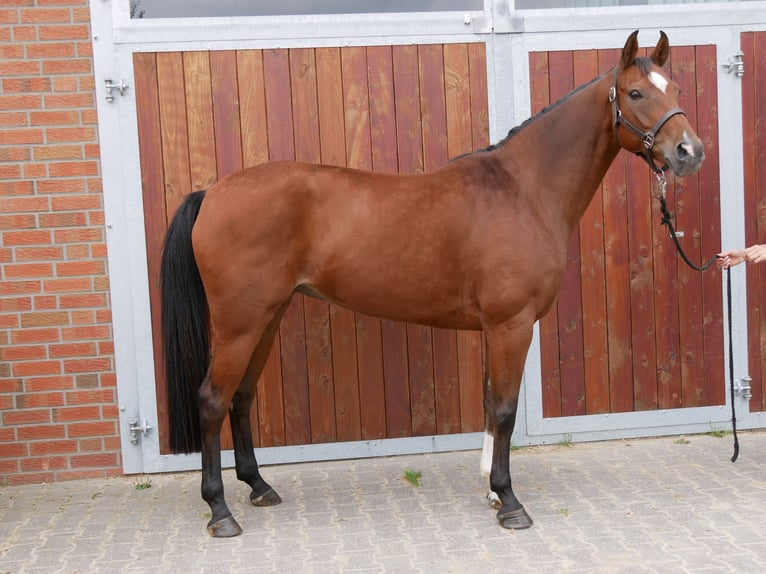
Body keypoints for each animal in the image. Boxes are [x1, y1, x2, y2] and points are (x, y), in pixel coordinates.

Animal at [159, 30, 704, 536]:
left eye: (675, 86)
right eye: (635, 92)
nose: (689, 152)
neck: (523, 190)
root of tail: (212, 193)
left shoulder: (495, 328)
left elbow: (489, 404)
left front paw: (491, 490)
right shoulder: (512, 325)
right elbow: (504, 410)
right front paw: (509, 501)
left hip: (267, 318)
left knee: (242, 397)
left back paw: (258, 486)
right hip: (240, 323)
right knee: (212, 399)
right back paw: (220, 510)